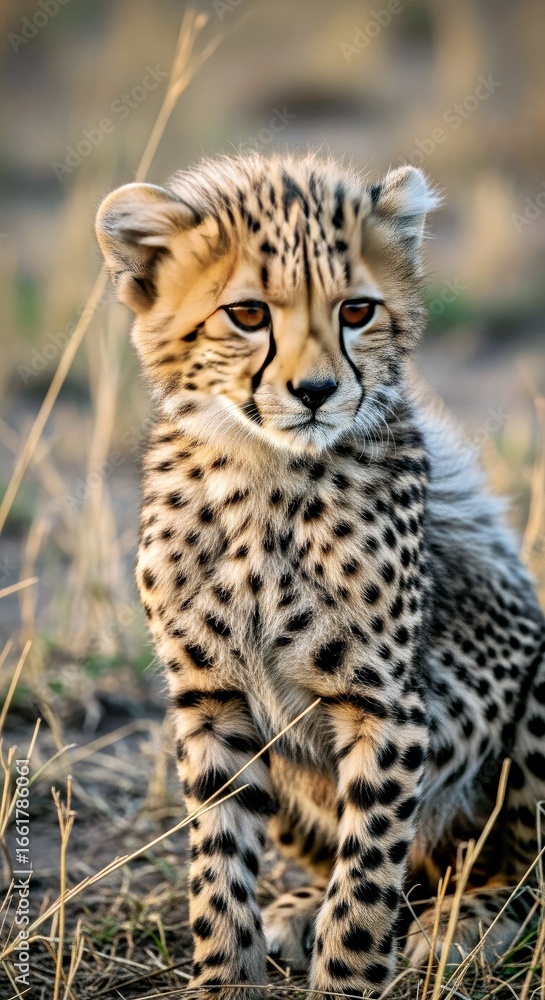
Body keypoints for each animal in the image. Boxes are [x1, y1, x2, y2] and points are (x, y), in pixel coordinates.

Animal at [95, 152, 545, 998]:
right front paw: (224, 979)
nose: (315, 391)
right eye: (246, 315)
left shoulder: (387, 708)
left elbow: (366, 874)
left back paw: (469, 921)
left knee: (514, 869)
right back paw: (300, 906)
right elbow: (219, 866)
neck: (262, 471)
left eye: (357, 310)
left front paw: (346, 980)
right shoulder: (210, 701)